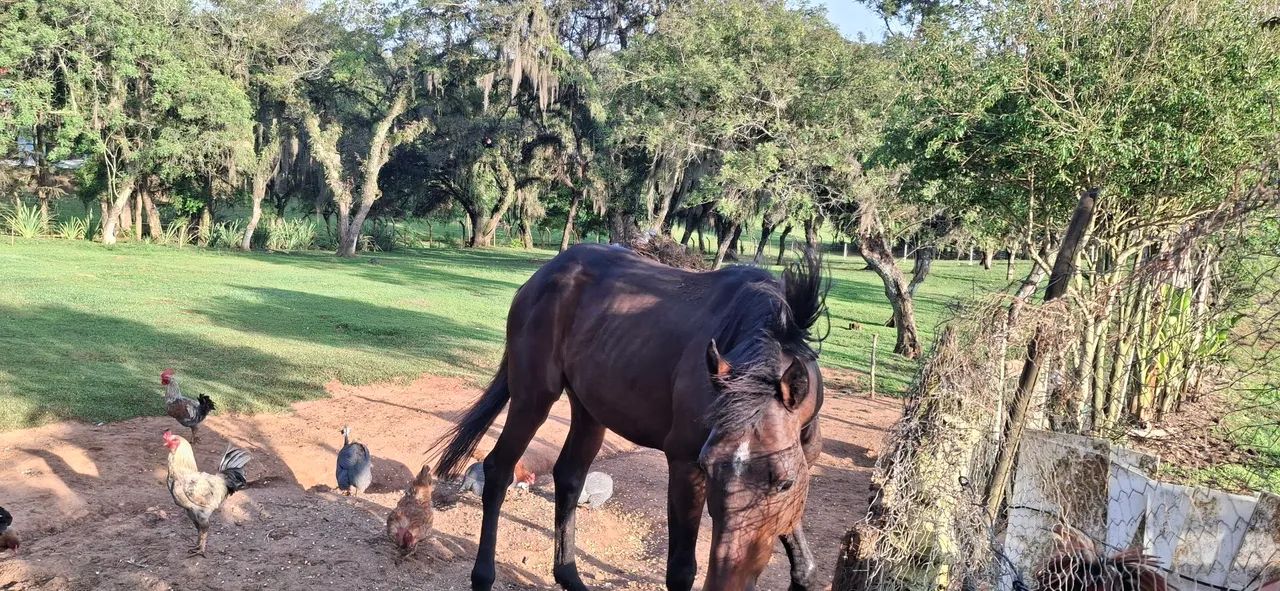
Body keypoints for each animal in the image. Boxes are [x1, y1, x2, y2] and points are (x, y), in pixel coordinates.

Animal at [433, 243, 828, 591]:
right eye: (709, 466)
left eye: (785, 483)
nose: (726, 585)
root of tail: (543, 275)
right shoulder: (685, 464)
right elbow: (681, 571)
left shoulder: (801, 465)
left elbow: (804, 564)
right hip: (533, 397)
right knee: (499, 470)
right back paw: (483, 577)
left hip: (589, 410)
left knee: (569, 477)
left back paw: (570, 576)